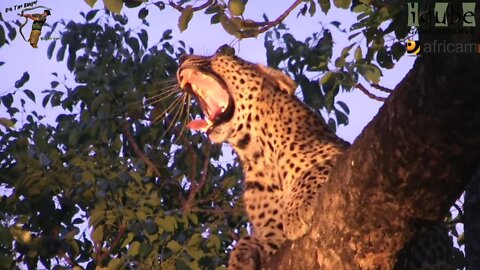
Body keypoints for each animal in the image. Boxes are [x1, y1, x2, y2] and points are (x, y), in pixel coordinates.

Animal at [176, 45, 348, 268]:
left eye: (220, 53)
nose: (182, 58)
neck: (257, 154)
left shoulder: (339, 152)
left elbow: (313, 170)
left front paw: (296, 211)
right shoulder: (272, 232)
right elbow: (250, 240)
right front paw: (238, 260)